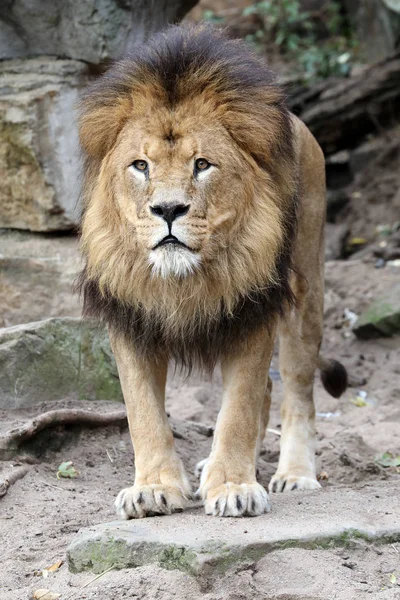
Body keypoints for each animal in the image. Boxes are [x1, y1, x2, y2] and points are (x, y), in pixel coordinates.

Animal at [77, 24, 346, 520]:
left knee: (297, 389)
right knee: (267, 391)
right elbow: (143, 413)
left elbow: (237, 408)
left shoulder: (254, 307)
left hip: (306, 290)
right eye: (140, 166)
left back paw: (296, 474)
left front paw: (234, 487)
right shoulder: (130, 316)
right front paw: (154, 488)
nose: (167, 209)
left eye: (202, 164)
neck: (182, 278)